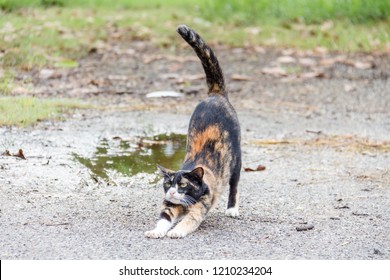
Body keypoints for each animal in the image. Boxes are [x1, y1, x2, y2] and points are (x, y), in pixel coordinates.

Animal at [144, 24, 239, 238]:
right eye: (167, 184)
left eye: (182, 185)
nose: (172, 191)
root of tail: (215, 95)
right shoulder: (169, 206)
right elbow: (163, 219)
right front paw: (157, 231)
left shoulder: (199, 208)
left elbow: (189, 221)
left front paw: (176, 231)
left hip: (237, 159)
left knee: (235, 185)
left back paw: (232, 209)